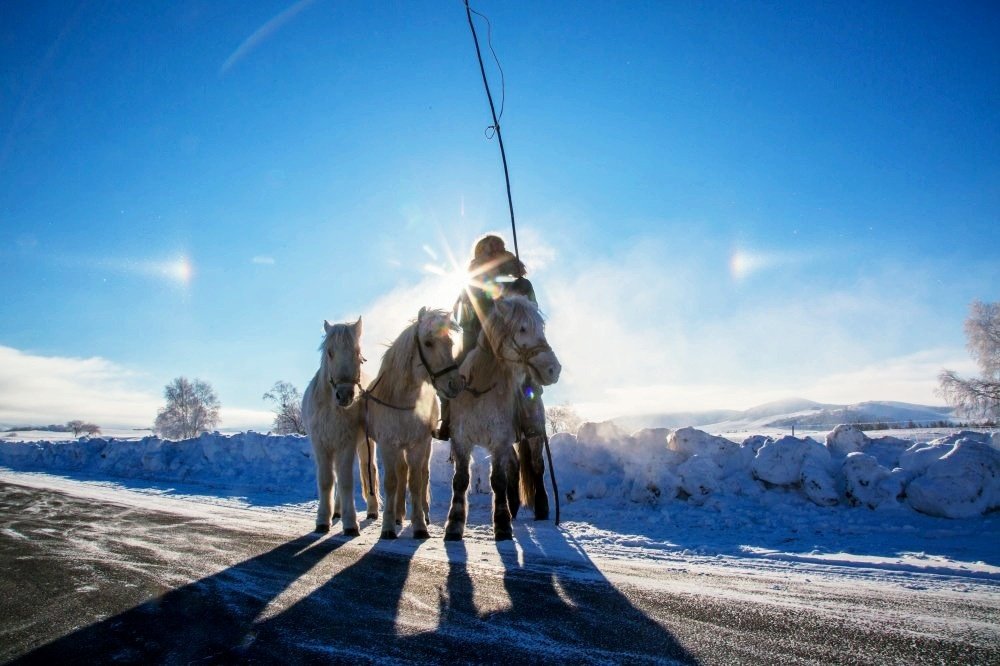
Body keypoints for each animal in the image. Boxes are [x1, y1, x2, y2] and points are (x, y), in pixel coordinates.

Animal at [300, 316, 378, 536]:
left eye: (357, 352)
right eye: (329, 352)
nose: (344, 395)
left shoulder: (347, 443)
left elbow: (346, 481)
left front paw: (351, 523)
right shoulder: (321, 444)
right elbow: (327, 480)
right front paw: (322, 521)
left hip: (365, 444)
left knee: (368, 469)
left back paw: (372, 510)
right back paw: (336, 511)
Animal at [364, 308, 464, 540]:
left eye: (450, 343)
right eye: (428, 343)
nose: (455, 384)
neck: (403, 401)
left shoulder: (418, 445)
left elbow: (417, 483)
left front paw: (419, 526)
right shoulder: (388, 445)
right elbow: (392, 482)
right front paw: (388, 526)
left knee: (422, 475)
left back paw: (422, 514)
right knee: (402, 473)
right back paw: (398, 514)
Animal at [446, 296, 564, 540]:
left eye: (542, 328)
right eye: (522, 328)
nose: (553, 370)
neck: (481, 389)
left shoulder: (499, 441)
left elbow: (498, 480)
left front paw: (501, 525)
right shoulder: (461, 440)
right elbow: (460, 481)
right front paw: (454, 525)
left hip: (534, 436)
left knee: (537, 466)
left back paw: (541, 508)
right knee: (515, 465)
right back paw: (514, 507)